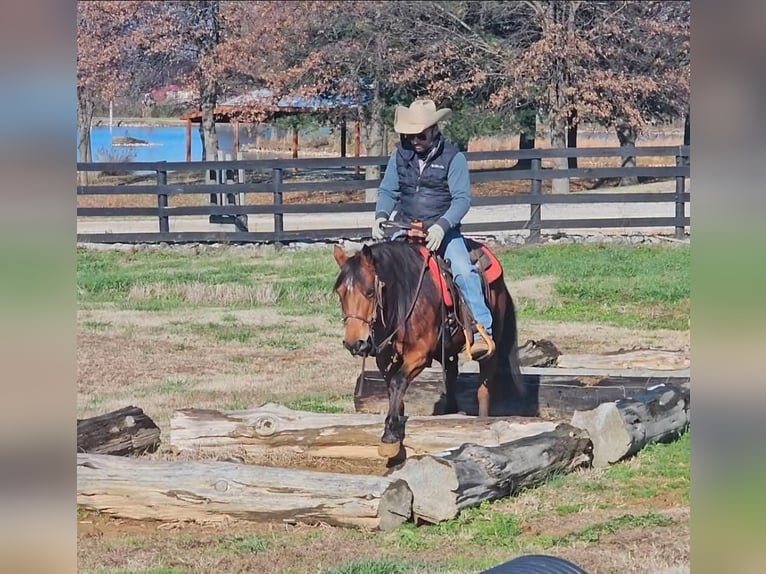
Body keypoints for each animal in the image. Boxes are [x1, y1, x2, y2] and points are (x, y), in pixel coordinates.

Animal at [332, 236, 526, 459]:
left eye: (370, 292)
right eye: (340, 293)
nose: (354, 343)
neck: (404, 296)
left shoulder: (419, 354)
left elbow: (398, 382)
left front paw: (389, 433)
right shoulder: (384, 358)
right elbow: (392, 389)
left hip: (490, 345)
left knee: (483, 389)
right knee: (451, 377)